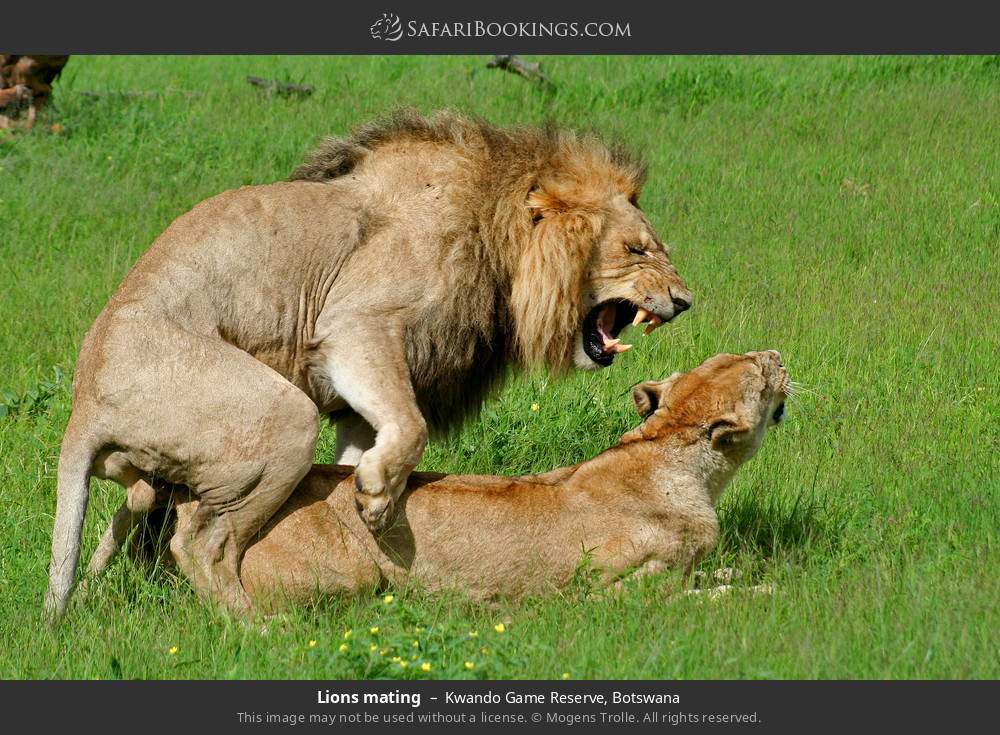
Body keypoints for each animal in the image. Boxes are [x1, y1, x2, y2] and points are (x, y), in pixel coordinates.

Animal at [45, 109, 692, 621]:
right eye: (636, 249)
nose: (684, 301)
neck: (491, 234)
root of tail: (85, 401)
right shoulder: (357, 324)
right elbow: (412, 425)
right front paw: (378, 500)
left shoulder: (357, 396)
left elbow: (366, 448)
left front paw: (366, 502)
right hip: (283, 415)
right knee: (202, 543)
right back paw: (257, 630)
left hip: (163, 468)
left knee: (138, 511)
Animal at [91, 351, 787, 604]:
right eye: (758, 372)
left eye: (736, 356)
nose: (778, 355)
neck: (664, 451)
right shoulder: (612, 590)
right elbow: (700, 596)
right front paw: (763, 592)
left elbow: (717, 574)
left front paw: (748, 575)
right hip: (348, 574)